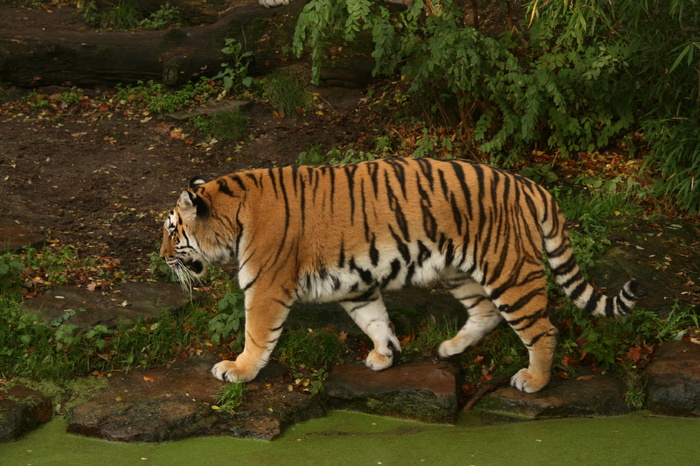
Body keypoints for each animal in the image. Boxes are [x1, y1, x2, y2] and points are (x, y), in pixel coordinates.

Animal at [161, 157, 644, 394]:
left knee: (543, 330)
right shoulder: (354, 284)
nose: (162, 258)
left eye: (170, 230)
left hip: (510, 272)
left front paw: (238, 370)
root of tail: (531, 185)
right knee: (486, 311)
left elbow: (257, 334)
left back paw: (534, 381)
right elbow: (375, 319)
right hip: (458, 269)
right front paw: (385, 354)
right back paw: (449, 348)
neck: (232, 216)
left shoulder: (265, 287)